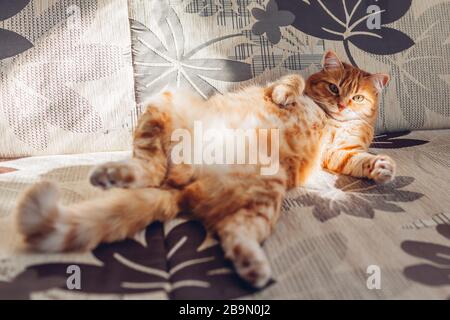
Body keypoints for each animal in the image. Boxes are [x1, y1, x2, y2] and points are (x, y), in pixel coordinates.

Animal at [15, 52, 394, 288]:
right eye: (333, 88)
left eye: (357, 98)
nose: (341, 105)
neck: (330, 120)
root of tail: (184, 186)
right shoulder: (282, 85)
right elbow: (291, 82)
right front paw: (286, 96)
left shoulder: (339, 153)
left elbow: (359, 159)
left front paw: (382, 167)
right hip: (167, 102)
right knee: (150, 166)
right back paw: (114, 174)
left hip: (263, 195)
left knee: (233, 232)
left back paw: (252, 265)